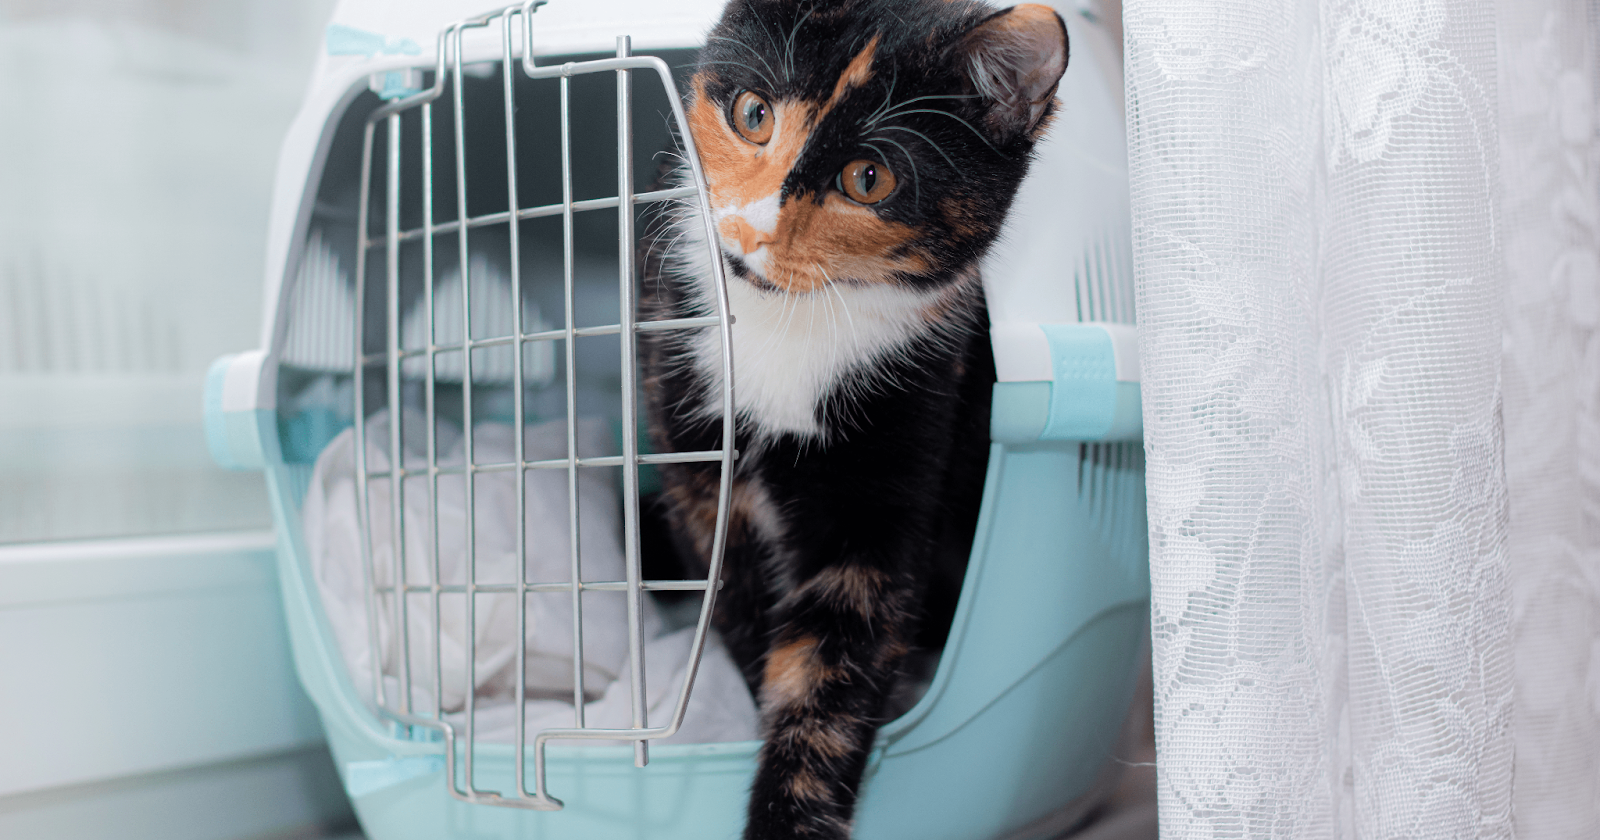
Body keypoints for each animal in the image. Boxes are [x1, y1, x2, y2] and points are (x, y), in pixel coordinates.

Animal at [633, 3, 1062, 832]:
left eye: (869, 178)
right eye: (753, 114)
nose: (752, 228)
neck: (788, 328)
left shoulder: (894, 474)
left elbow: (831, 672)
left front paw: (790, 806)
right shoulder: (697, 463)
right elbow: (740, 608)